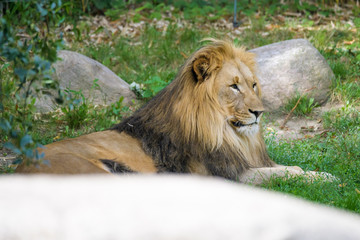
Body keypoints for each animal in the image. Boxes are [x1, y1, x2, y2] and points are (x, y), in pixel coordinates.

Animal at [15, 40, 322, 185]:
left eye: (253, 85)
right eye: (234, 86)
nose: (259, 112)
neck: (226, 133)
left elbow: (287, 169)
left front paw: (319, 173)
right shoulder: (226, 176)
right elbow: (281, 175)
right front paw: (324, 178)